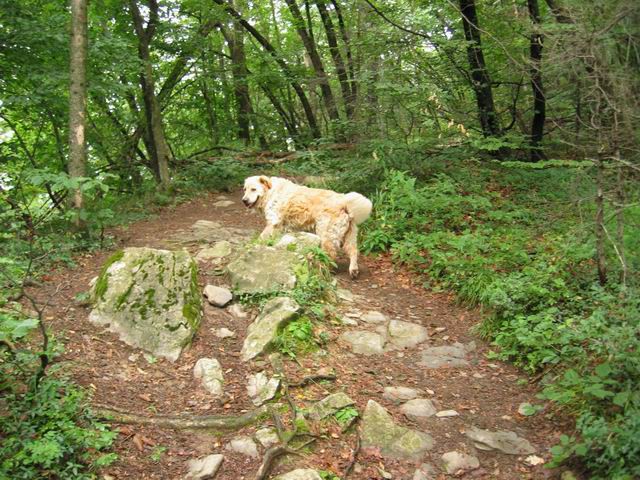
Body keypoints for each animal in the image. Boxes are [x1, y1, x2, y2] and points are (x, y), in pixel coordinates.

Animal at [242, 176, 372, 278]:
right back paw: (353, 270)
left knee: (330, 254)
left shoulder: (273, 222)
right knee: (353, 251)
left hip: (325, 234)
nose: (244, 200)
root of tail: (344, 203)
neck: (270, 192)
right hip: (349, 235)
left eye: (253, 189)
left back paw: (323, 269)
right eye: (245, 189)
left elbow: (261, 238)